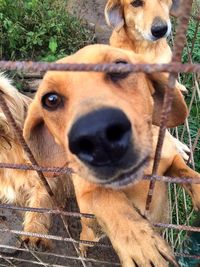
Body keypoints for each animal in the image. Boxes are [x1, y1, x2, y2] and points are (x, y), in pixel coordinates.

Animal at [23, 45, 200, 266]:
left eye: (120, 66)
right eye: (51, 99)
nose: (98, 136)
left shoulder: (170, 162)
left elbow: (189, 174)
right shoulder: (85, 195)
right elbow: (103, 195)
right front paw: (139, 241)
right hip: (89, 231)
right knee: (85, 238)